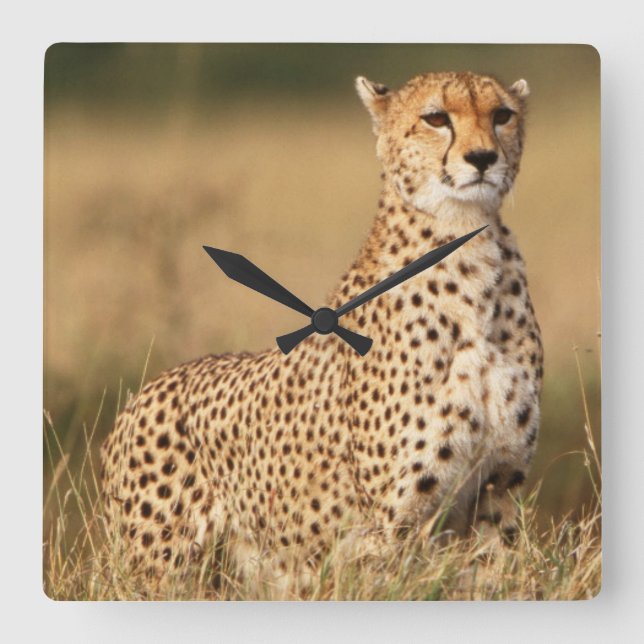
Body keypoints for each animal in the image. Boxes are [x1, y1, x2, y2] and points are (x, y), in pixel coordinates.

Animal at [101, 71, 543, 594]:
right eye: (436, 118)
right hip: (159, 572)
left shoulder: (498, 492)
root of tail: (143, 392)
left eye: (502, 115)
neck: (468, 247)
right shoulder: (392, 523)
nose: (482, 158)